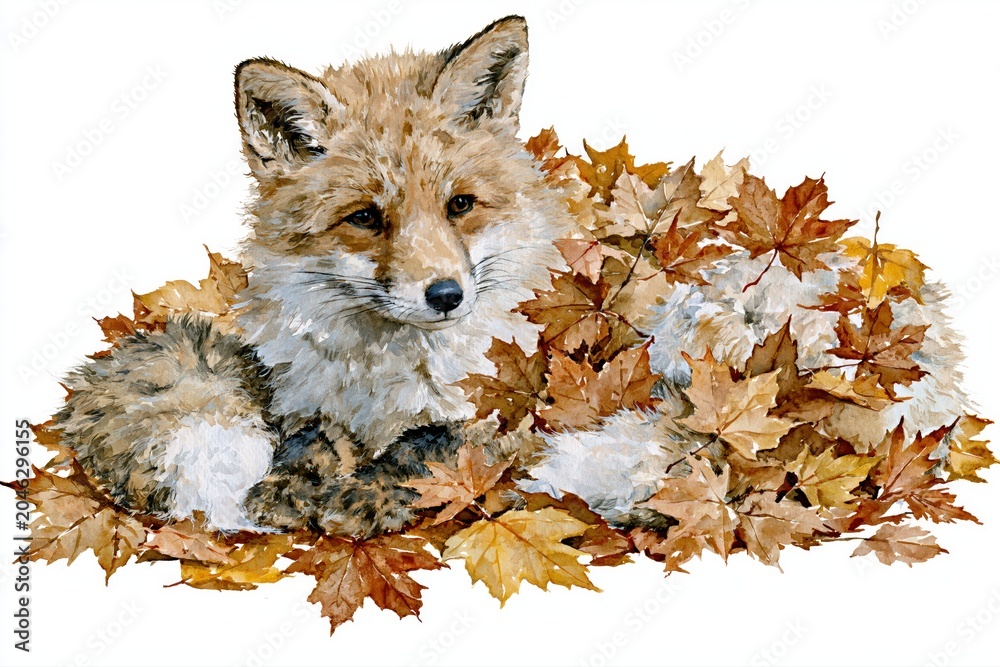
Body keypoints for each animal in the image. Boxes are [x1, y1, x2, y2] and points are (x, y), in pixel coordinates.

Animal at [54, 16, 971, 538]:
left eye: (460, 205)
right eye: (366, 217)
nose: (444, 295)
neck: (391, 373)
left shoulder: (526, 399)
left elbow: (432, 446)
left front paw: (368, 497)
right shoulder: (310, 399)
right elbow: (307, 443)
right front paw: (289, 486)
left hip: (699, 337)